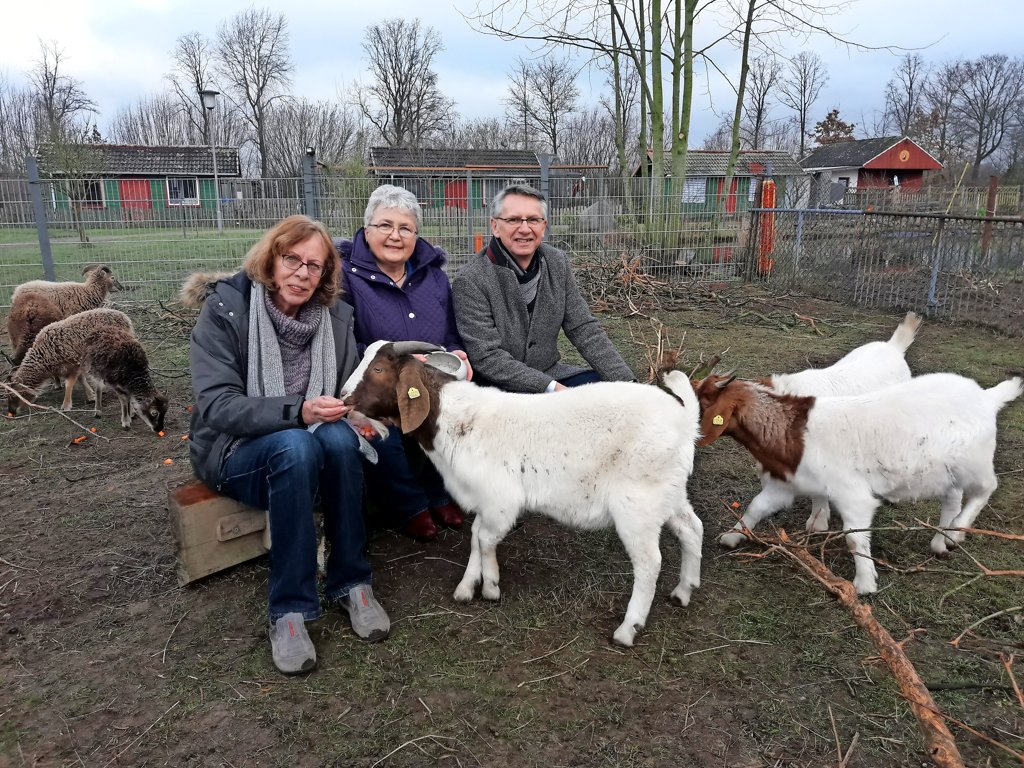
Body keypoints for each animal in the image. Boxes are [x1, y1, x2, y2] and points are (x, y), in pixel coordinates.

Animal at [7, 309, 165, 436]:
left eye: (15, 395)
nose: (11, 412)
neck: (43, 358)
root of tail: (124, 316)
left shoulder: (73, 363)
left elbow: (70, 383)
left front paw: (66, 406)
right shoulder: (77, 364)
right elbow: (81, 379)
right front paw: (90, 396)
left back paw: (129, 413)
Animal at [344, 342, 704, 651]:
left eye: (378, 369)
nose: (345, 399)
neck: (456, 420)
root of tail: (685, 420)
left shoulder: (500, 499)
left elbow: (485, 539)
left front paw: (490, 586)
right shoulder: (484, 500)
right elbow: (475, 536)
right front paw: (467, 587)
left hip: (637, 505)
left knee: (649, 562)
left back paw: (628, 629)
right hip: (668, 493)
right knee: (692, 528)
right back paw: (684, 591)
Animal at [696, 372, 1024, 593]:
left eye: (703, 402)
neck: (794, 432)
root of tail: (986, 397)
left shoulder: (851, 493)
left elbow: (854, 537)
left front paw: (864, 583)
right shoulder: (786, 483)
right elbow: (756, 507)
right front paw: (733, 536)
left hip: (975, 463)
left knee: (986, 489)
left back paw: (956, 533)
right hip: (945, 472)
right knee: (952, 499)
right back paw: (940, 541)